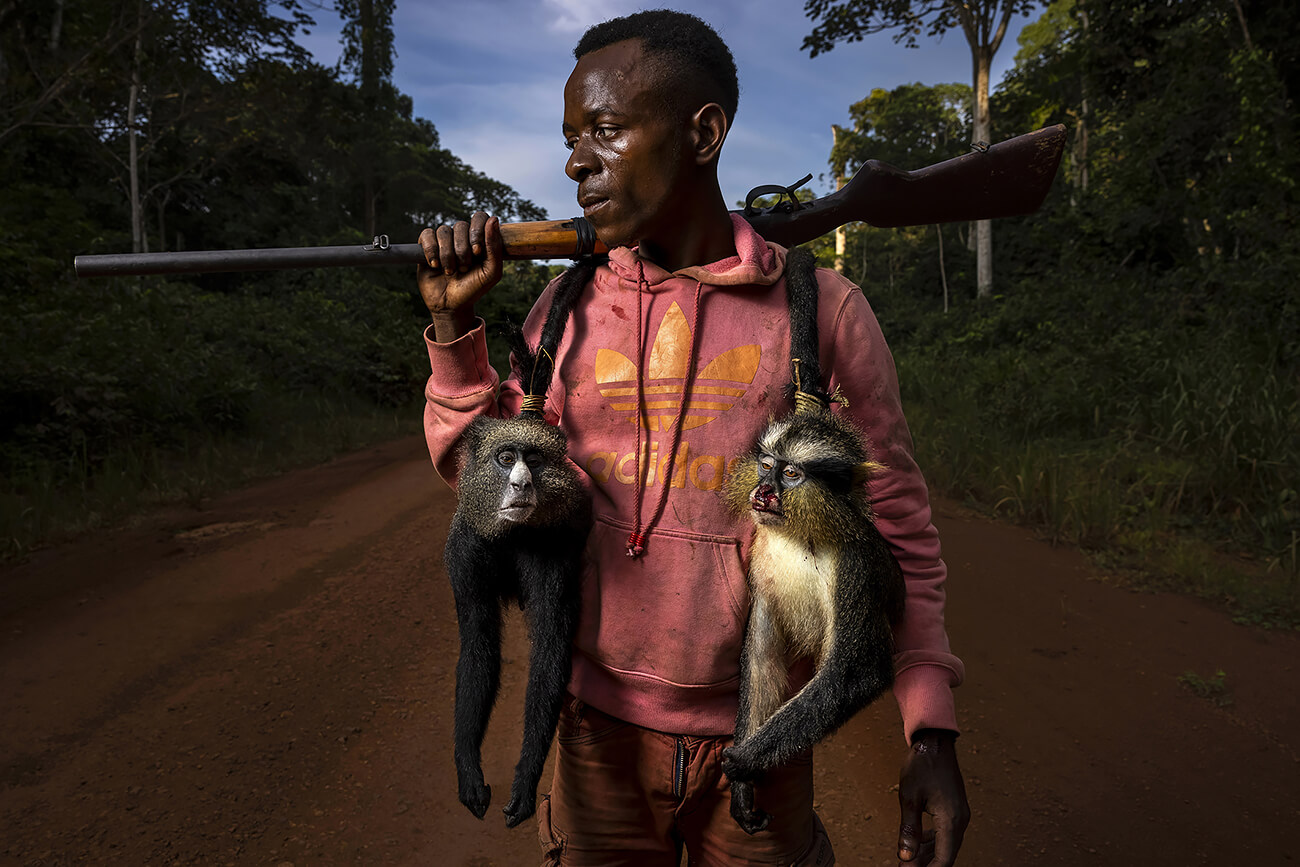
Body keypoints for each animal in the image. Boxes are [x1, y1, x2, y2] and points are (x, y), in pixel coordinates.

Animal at [441, 256, 595, 826]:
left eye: (534, 461)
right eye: (506, 459)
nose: (522, 483)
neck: (508, 536)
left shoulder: (550, 545)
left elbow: (550, 646)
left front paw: (527, 775)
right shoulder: (464, 551)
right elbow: (479, 643)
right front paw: (468, 768)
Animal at [722, 246, 904, 837]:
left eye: (792, 475)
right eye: (766, 465)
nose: (763, 491)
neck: (800, 535)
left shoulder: (855, 566)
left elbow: (859, 670)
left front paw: (745, 760)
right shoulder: (761, 555)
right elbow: (761, 647)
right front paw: (743, 789)